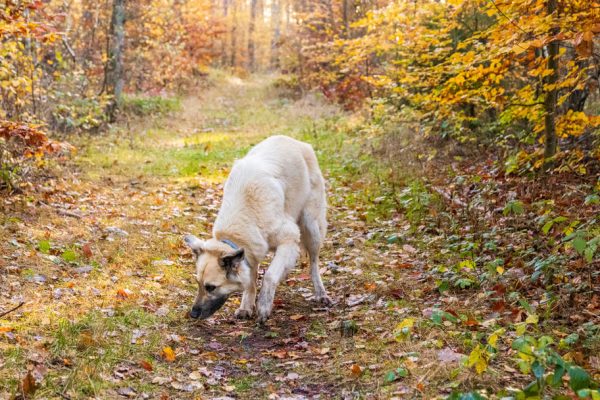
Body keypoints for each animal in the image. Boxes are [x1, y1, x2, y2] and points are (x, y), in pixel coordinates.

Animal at [184, 134, 330, 322]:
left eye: (211, 287)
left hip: (311, 227)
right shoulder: (250, 252)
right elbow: (251, 280)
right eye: (199, 284)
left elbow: (269, 275)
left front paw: (263, 305)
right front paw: (246, 306)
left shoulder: (289, 239)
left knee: (313, 263)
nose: (193, 314)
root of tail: (296, 142)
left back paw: (320, 292)